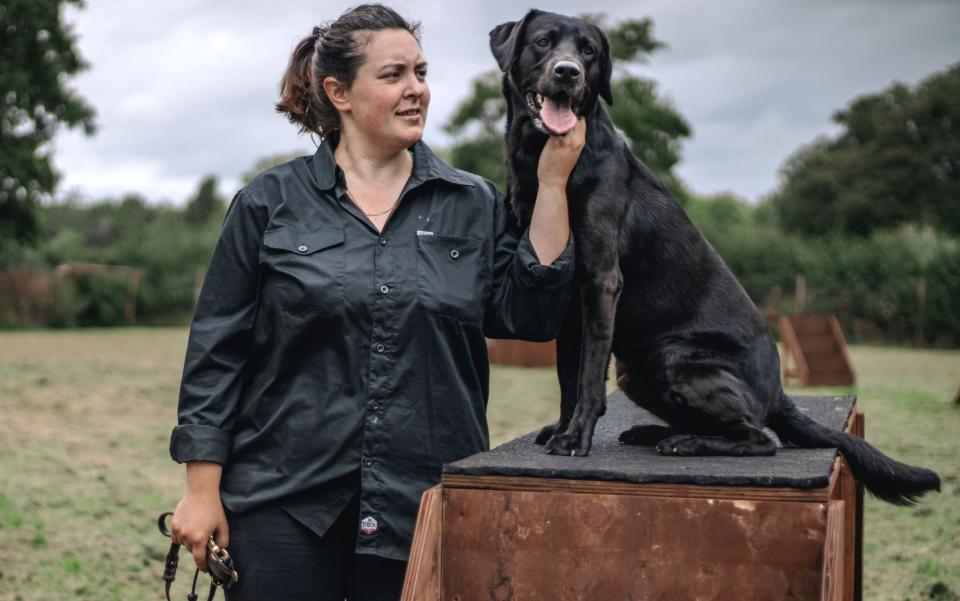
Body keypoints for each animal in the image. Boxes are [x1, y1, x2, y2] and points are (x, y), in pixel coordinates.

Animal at [492, 10, 940, 506]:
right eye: (543, 42)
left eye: (588, 51)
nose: (568, 72)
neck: (544, 161)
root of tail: (780, 394)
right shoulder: (565, 294)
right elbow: (569, 376)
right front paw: (560, 427)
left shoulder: (600, 280)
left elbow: (588, 377)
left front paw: (574, 439)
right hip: (637, 370)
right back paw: (655, 433)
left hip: (672, 357)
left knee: (760, 437)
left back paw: (685, 443)